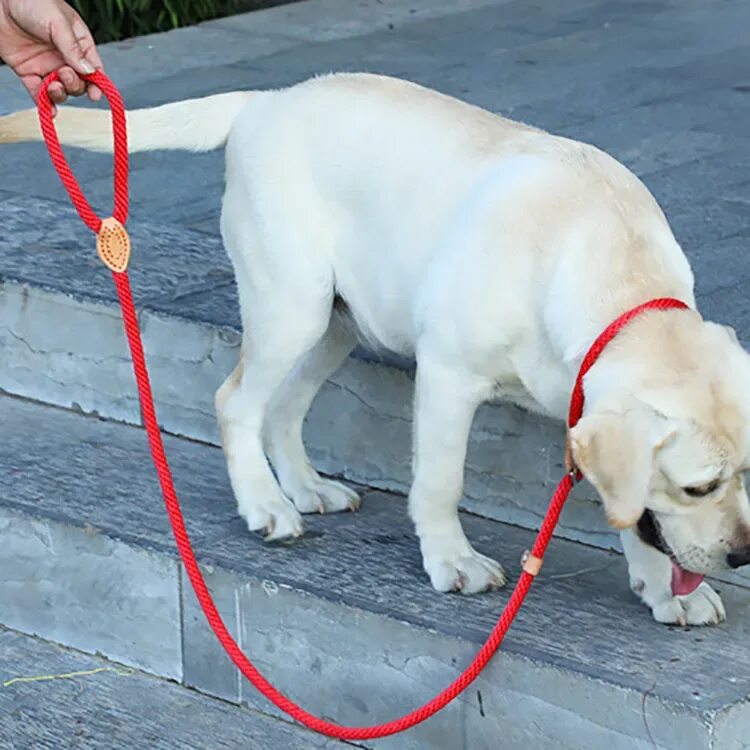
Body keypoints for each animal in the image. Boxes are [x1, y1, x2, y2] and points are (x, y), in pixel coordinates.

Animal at [5, 75, 750, 628]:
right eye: (699, 486)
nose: (744, 556)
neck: (616, 276)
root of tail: (263, 101)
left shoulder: (583, 405)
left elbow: (632, 514)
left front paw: (662, 589)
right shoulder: (449, 375)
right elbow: (442, 482)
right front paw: (452, 562)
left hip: (336, 322)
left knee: (284, 408)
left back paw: (305, 488)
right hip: (292, 303)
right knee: (235, 401)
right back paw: (266, 505)